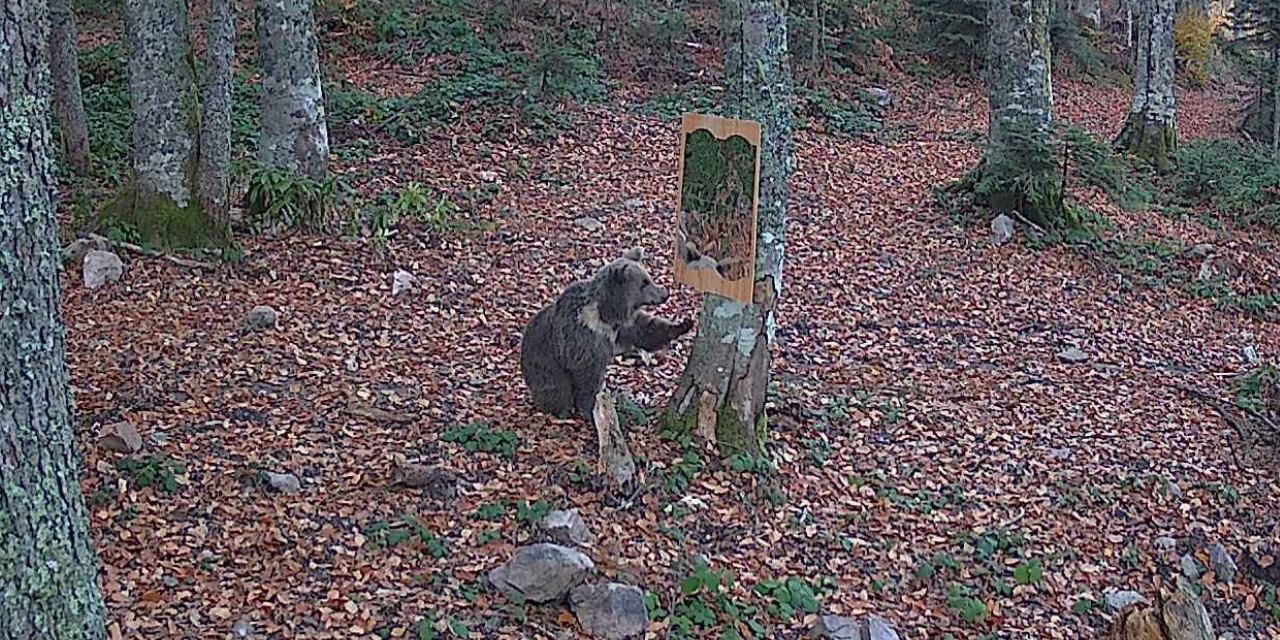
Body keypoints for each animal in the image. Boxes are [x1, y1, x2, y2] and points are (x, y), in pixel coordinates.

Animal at [519, 247, 696, 422]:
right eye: (644, 282)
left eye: (648, 278)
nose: (665, 292)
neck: (606, 313)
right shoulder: (583, 337)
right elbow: (588, 375)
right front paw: (592, 410)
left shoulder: (622, 327)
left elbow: (646, 331)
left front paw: (684, 324)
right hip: (545, 361)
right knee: (557, 388)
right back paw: (561, 410)